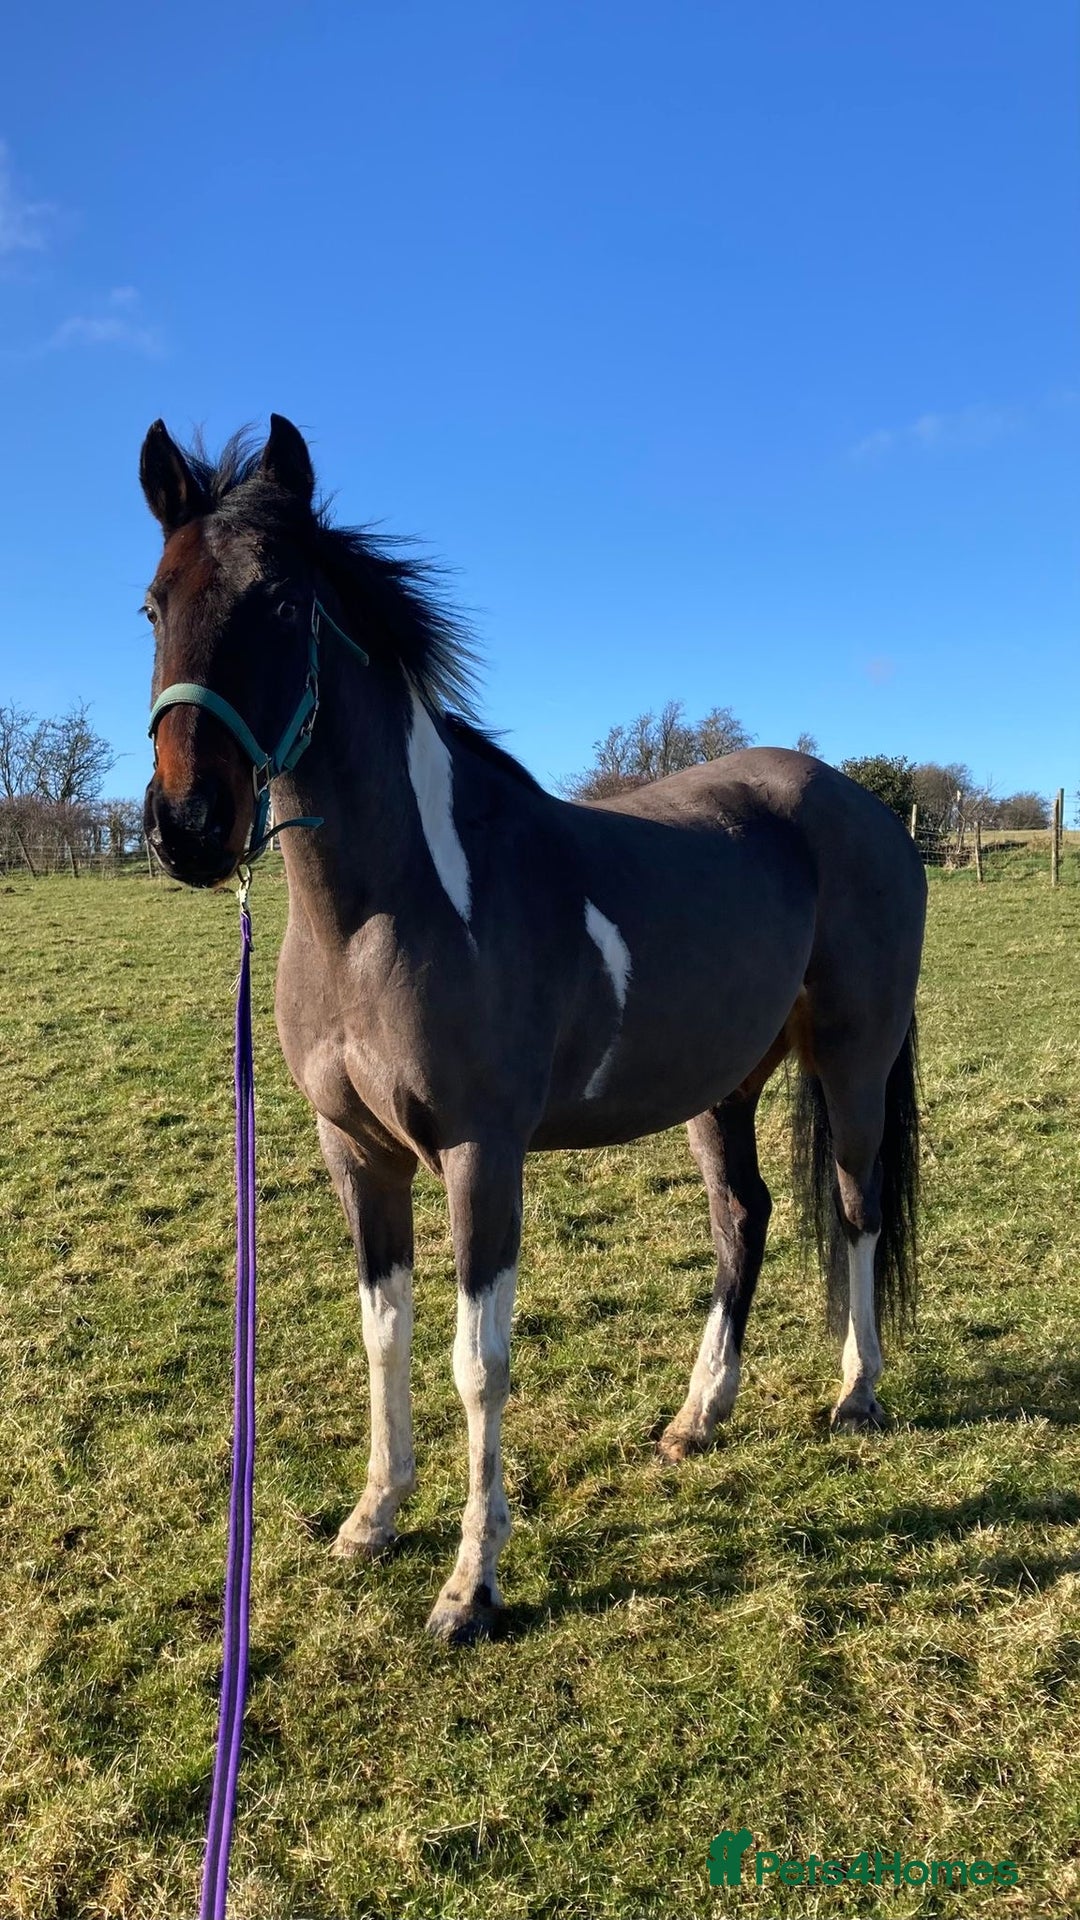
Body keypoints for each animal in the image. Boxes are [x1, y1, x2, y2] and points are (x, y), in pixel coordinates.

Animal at [140, 414, 926, 1644]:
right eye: (153, 604)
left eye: (277, 601)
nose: (187, 827)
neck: (390, 909)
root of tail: (869, 811)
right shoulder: (355, 1154)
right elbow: (384, 1332)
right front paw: (372, 1522)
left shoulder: (481, 1155)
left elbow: (480, 1361)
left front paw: (471, 1586)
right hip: (722, 1086)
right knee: (742, 1218)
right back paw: (698, 1416)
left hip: (852, 1062)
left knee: (855, 1208)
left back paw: (856, 1392)